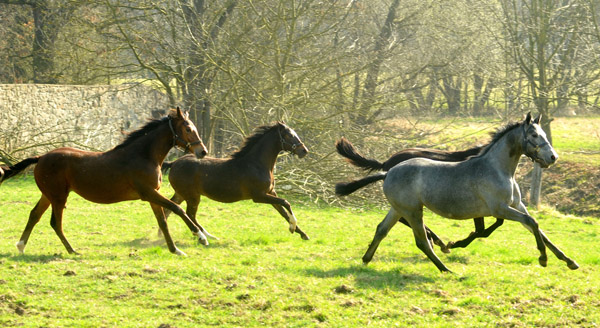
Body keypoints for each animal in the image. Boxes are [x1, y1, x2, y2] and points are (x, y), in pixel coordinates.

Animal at [4, 107, 209, 256]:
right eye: (188, 129)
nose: (203, 151)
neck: (143, 156)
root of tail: (41, 157)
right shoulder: (149, 193)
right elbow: (178, 209)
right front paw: (201, 236)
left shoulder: (153, 195)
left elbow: (163, 221)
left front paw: (175, 250)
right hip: (58, 197)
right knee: (55, 223)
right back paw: (72, 251)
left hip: (49, 195)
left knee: (34, 215)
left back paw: (21, 246)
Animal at [162, 121, 312, 240]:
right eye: (288, 135)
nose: (304, 151)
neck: (257, 164)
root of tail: (173, 163)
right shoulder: (259, 196)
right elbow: (286, 203)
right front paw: (293, 227)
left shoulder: (271, 193)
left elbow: (283, 212)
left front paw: (303, 234)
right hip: (192, 196)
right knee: (190, 214)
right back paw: (208, 236)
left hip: (181, 194)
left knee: (170, 209)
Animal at [336, 137, 504, 250]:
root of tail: (386, 164)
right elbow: (482, 230)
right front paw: (456, 243)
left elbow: (494, 225)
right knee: (404, 218)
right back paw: (435, 239)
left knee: (401, 217)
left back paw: (434, 239)